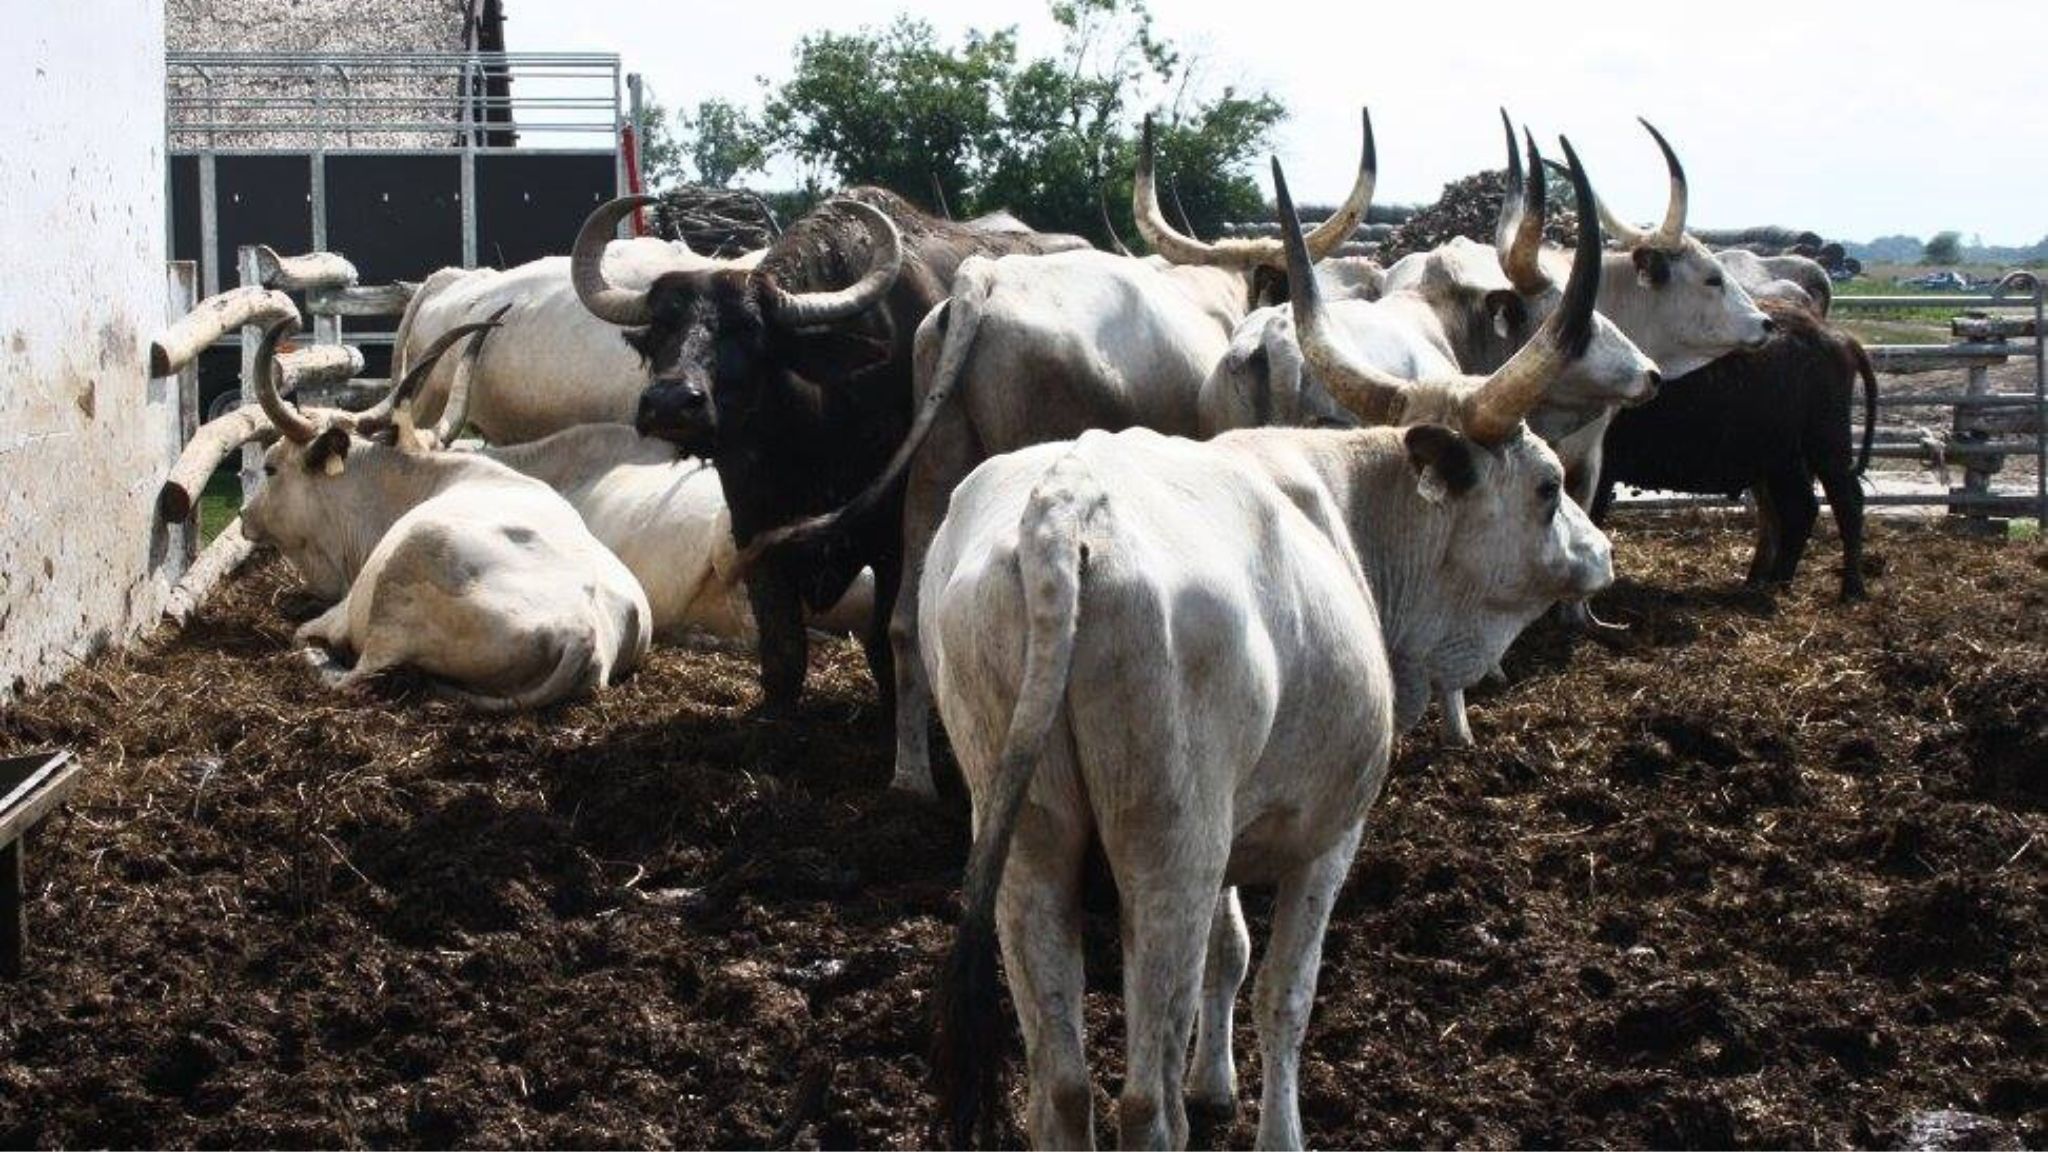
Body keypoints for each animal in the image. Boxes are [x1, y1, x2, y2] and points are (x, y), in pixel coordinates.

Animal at [238, 318, 651, 711]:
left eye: (271, 468)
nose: (244, 515)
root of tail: (582, 633)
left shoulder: (342, 613)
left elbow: (302, 632)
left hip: (397, 597)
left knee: (356, 674)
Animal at [568, 187, 1091, 721]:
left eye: (750, 330)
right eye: (659, 332)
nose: (672, 402)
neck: (810, 439)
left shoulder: (892, 538)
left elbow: (882, 645)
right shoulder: (755, 532)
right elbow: (783, 653)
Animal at [923, 148, 1616, 1151]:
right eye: (1549, 485)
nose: (1601, 552)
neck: (1351, 512)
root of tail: (1066, 508)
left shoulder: (1231, 842)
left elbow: (1229, 953)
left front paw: (1212, 1083)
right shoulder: (1327, 833)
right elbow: (1285, 995)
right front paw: (1274, 1125)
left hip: (1031, 845)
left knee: (1061, 1085)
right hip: (1166, 846)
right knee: (1138, 1101)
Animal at [1594, 297, 1878, 600]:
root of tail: (1835, 336)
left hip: (1825, 447)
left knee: (1842, 505)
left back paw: (1846, 588)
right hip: (1781, 461)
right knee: (1791, 511)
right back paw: (1764, 581)